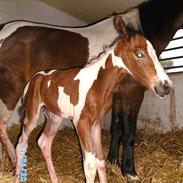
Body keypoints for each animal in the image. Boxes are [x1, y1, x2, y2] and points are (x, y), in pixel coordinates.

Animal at [0, 0, 182, 182]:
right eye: (139, 54)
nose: (166, 86)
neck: (97, 82)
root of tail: (36, 78)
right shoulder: (86, 120)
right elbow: (92, 164)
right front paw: (130, 172)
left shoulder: (98, 121)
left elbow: (102, 156)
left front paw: (112, 162)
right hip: (26, 109)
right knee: (19, 141)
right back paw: (15, 171)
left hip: (54, 117)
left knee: (44, 142)